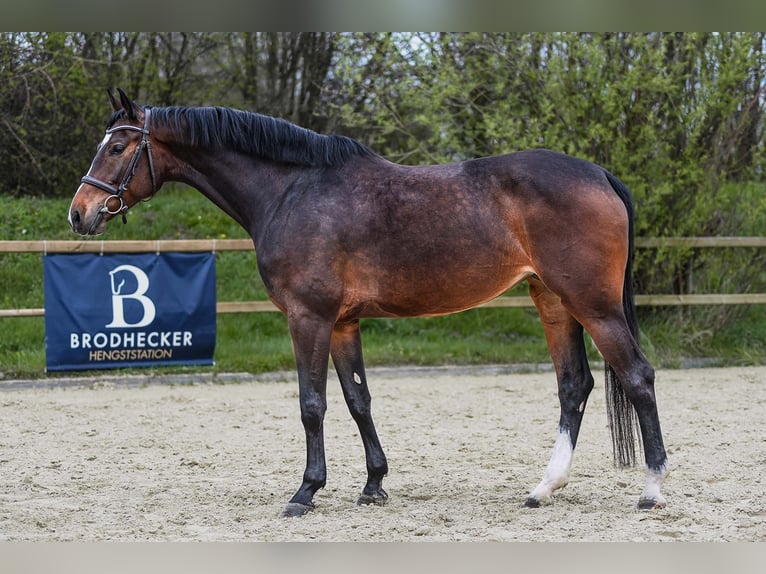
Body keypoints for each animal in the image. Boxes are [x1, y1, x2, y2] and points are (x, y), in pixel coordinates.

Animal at [69, 89, 668, 516]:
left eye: (117, 147)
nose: (80, 212)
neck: (292, 191)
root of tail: (599, 173)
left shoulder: (308, 318)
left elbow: (312, 404)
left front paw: (305, 492)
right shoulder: (342, 324)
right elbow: (359, 400)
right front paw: (374, 483)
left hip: (594, 305)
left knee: (637, 376)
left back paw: (653, 488)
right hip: (554, 302)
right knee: (574, 386)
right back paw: (544, 488)